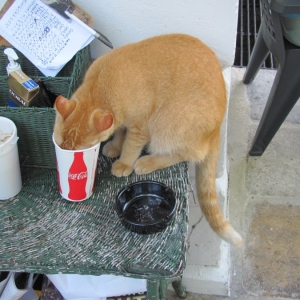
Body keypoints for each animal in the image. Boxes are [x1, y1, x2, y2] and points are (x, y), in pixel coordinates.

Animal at [53, 34, 241, 247]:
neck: (102, 86)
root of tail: (218, 126)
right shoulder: (122, 120)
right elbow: (119, 132)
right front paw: (115, 146)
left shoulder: (140, 126)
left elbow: (130, 145)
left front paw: (124, 162)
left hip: (165, 126)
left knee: (187, 154)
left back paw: (147, 161)